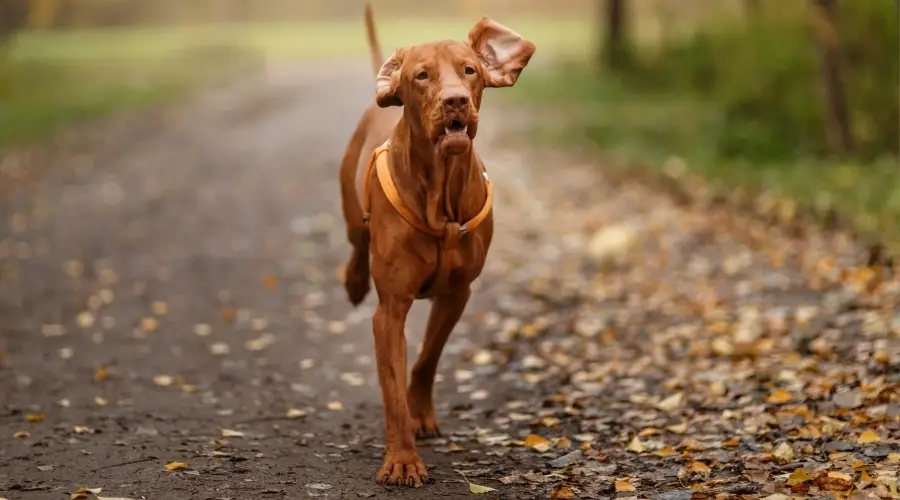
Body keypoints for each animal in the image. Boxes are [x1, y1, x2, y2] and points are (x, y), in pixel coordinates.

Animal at [338, 1, 536, 488]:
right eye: (422, 76)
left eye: (470, 70)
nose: (455, 101)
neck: (440, 196)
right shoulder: (390, 311)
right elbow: (392, 391)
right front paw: (402, 459)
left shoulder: (457, 294)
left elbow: (426, 358)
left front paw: (421, 414)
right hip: (351, 210)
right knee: (355, 246)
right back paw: (353, 281)